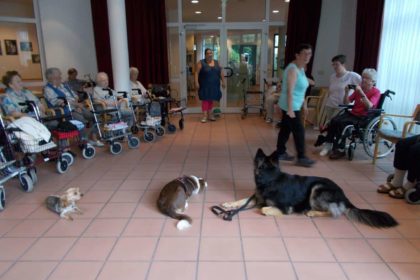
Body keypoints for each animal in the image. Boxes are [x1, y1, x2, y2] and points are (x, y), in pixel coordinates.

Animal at [221, 149, 398, 228]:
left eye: (261, 165)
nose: (258, 176)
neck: (271, 180)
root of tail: (344, 194)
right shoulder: (257, 198)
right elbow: (242, 200)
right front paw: (228, 204)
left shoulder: (283, 207)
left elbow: (264, 208)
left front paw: (265, 210)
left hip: (317, 188)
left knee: (335, 212)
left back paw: (313, 212)